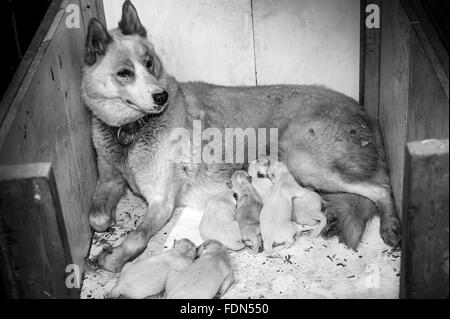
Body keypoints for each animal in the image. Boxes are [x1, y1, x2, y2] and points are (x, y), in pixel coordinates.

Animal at [81, 1, 400, 274]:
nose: (161, 97)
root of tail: (364, 114)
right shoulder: (109, 179)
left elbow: (136, 238)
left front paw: (113, 257)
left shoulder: (161, 201)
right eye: (124, 73)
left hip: (305, 161)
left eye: (148, 63)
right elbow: (95, 218)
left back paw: (390, 225)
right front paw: (107, 223)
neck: (130, 130)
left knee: (381, 188)